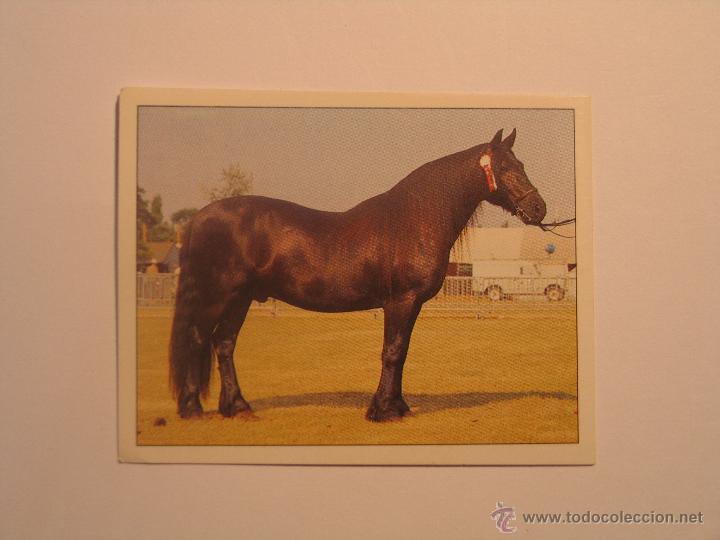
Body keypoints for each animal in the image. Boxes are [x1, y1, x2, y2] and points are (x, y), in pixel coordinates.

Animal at [169, 128, 547, 422]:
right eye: (504, 167)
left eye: (522, 165)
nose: (539, 208)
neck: (414, 220)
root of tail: (199, 218)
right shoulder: (400, 301)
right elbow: (392, 351)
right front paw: (384, 410)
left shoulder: (411, 305)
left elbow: (402, 351)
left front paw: (398, 406)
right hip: (217, 296)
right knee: (198, 339)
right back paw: (192, 409)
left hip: (241, 298)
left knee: (224, 344)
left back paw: (238, 407)